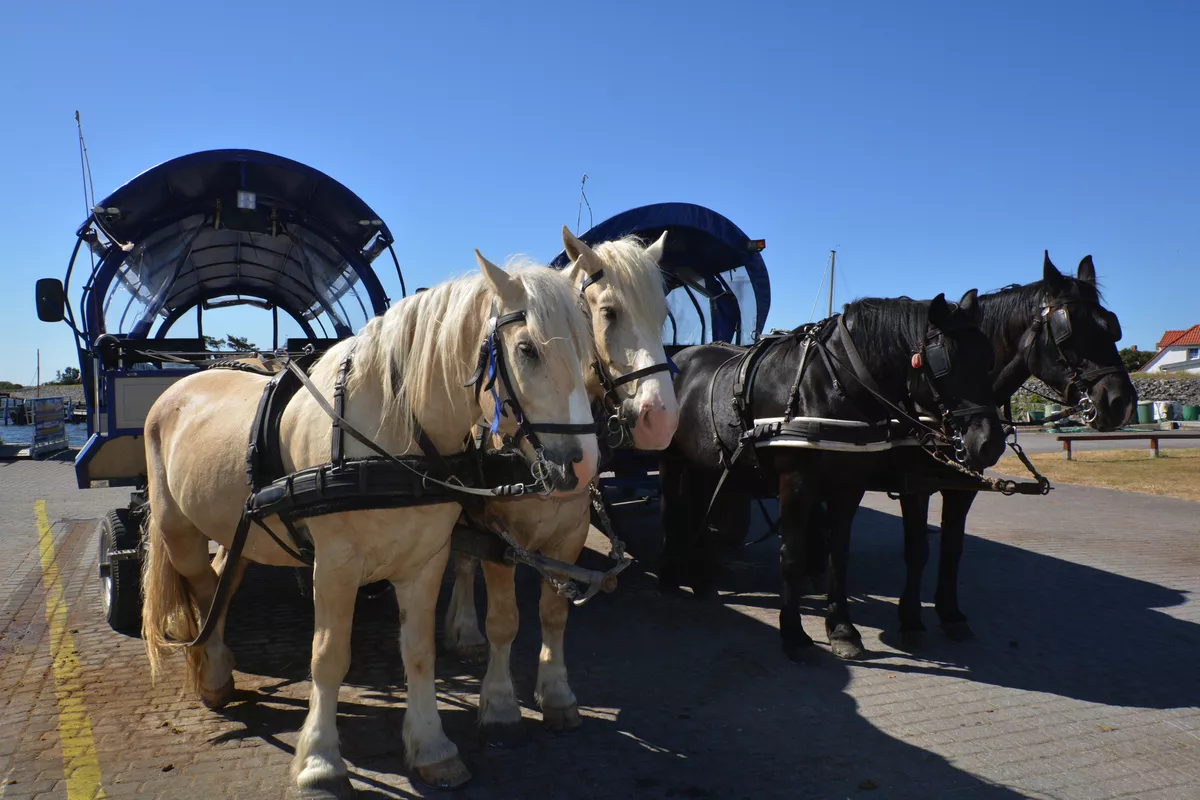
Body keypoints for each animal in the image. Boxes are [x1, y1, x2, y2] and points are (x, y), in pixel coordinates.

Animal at [141, 255, 600, 796]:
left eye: (587, 351)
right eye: (527, 349)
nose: (583, 467)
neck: (391, 437)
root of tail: (179, 386)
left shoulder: (426, 560)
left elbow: (419, 652)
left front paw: (432, 748)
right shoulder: (335, 565)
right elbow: (328, 656)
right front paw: (320, 760)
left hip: (242, 534)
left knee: (219, 583)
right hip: (178, 532)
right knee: (200, 586)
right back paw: (212, 673)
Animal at [441, 227, 681, 743]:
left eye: (664, 318)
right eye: (609, 312)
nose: (662, 420)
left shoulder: (569, 536)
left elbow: (555, 613)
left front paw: (556, 693)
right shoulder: (499, 539)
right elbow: (504, 620)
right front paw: (498, 701)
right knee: (464, 563)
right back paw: (465, 629)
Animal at [662, 291, 1008, 662]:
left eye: (989, 358)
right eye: (946, 360)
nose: (989, 444)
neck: (829, 385)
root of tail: (679, 356)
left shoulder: (850, 485)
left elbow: (838, 555)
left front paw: (842, 630)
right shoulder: (796, 482)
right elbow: (793, 556)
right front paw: (794, 634)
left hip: (705, 465)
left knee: (698, 509)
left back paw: (700, 577)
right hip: (672, 460)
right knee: (672, 510)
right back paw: (670, 577)